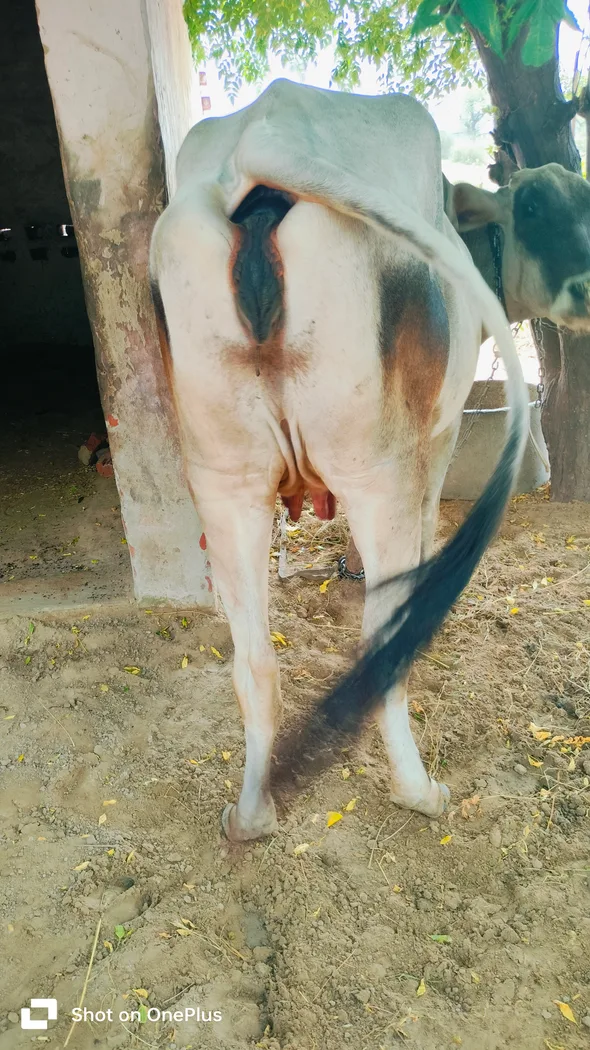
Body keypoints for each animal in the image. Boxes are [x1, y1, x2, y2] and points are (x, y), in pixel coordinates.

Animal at [150, 78, 535, 843]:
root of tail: (268, 133)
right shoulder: (437, 443)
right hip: (377, 468)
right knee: (384, 649)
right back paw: (420, 792)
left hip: (225, 476)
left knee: (254, 664)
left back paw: (251, 815)